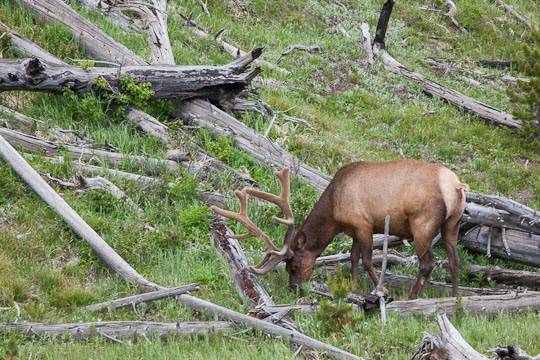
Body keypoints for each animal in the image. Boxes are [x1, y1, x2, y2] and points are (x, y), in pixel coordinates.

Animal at [211, 160, 468, 298]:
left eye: (294, 264)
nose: (295, 289)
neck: (333, 210)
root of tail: (455, 185)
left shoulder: (363, 224)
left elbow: (366, 261)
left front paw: (382, 290)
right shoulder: (353, 230)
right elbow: (353, 259)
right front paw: (354, 289)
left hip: (422, 224)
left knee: (428, 264)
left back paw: (413, 298)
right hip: (452, 224)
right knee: (455, 261)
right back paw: (456, 299)